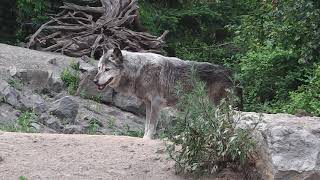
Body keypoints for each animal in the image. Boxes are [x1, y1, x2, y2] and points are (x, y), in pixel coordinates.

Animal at [92, 47, 240, 139]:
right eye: (99, 68)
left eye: (107, 69)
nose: (94, 81)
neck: (139, 70)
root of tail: (232, 74)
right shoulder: (148, 103)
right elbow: (146, 125)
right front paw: (144, 138)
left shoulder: (156, 103)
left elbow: (151, 126)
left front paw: (147, 139)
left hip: (218, 108)